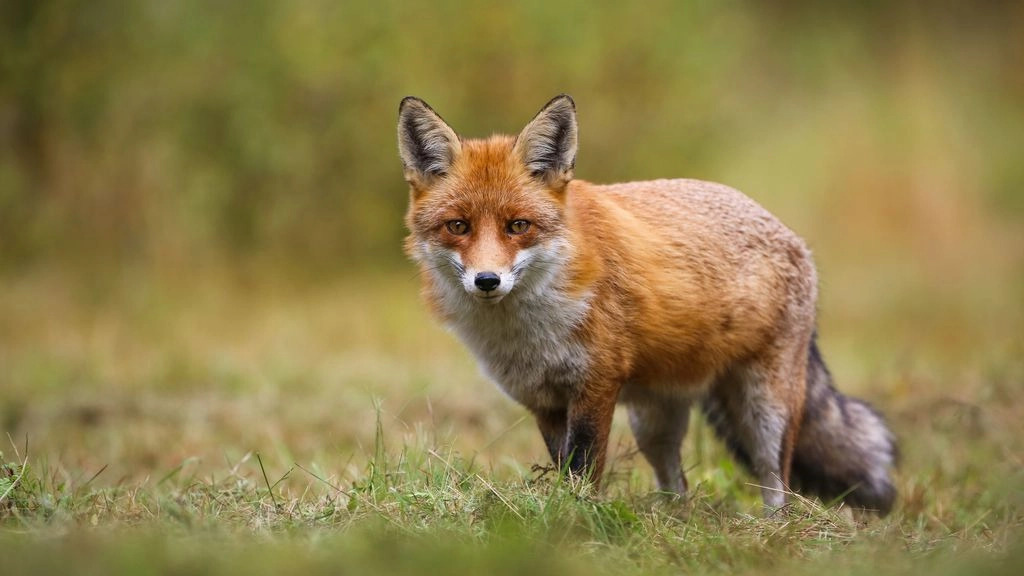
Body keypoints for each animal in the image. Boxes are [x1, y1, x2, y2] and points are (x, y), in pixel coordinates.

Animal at [397, 94, 897, 515]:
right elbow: (563, 466)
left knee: (778, 482)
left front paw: (577, 517)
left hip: (765, 409)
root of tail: (790, 233)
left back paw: (774, 530)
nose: (487, 280)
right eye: (458, 226)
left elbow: (584, 468)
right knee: (676, 483)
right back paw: (675, 522)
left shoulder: (596, 385)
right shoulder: (543, 399)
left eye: (518, 225)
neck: (527, 330)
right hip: (654, 422)